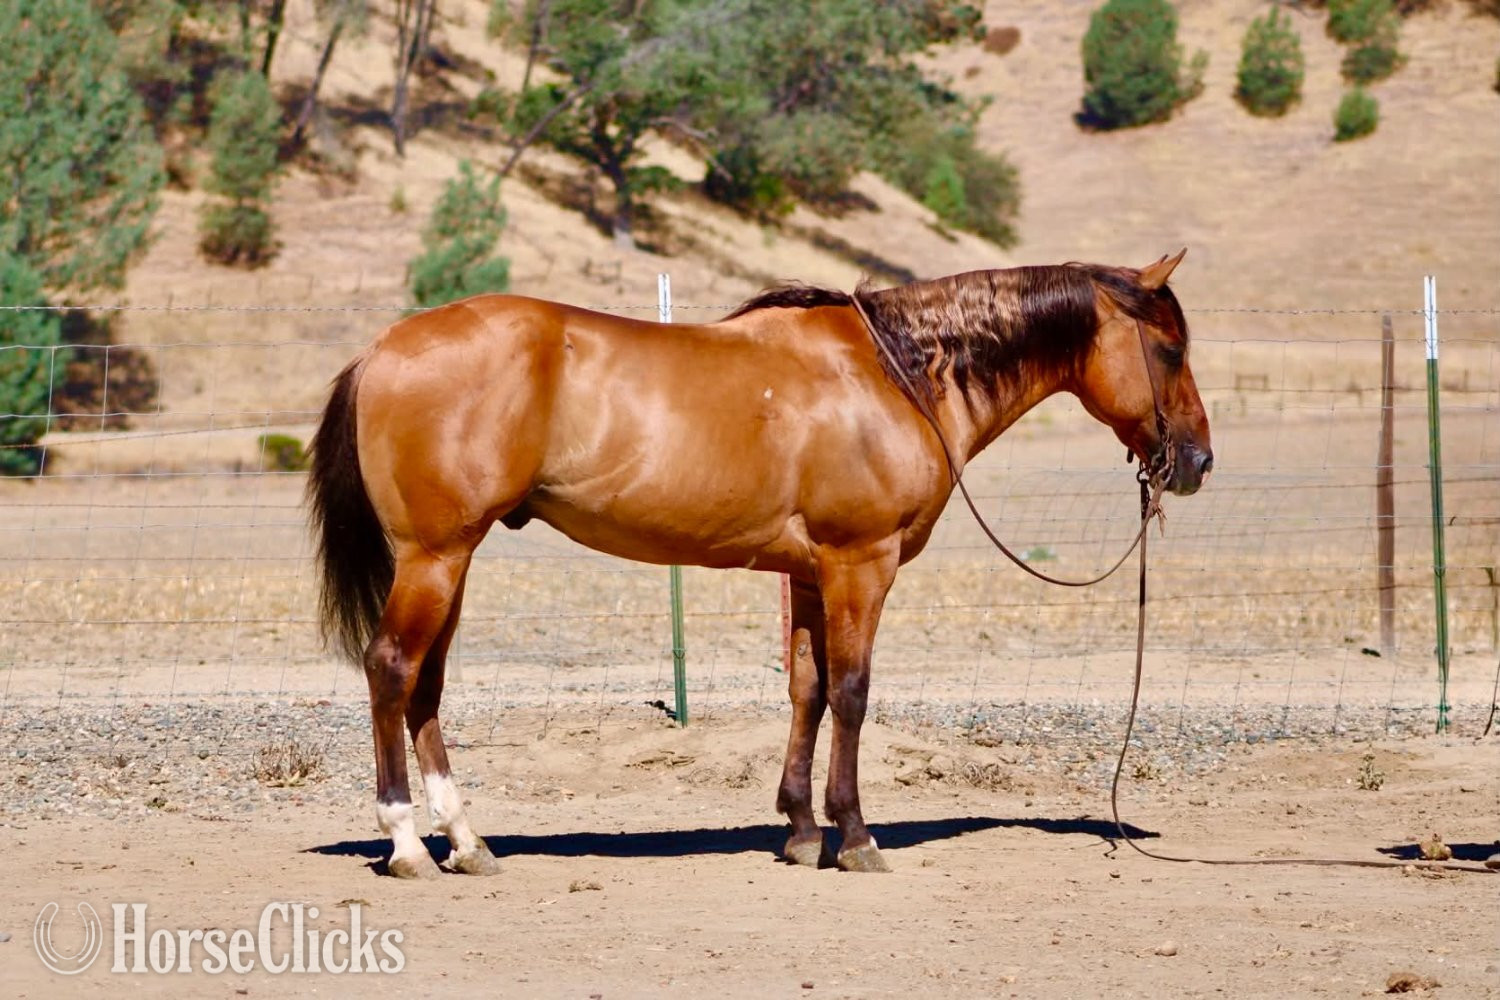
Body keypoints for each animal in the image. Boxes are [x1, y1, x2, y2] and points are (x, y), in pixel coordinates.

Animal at [307, 250, 1211, 878]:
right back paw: (408, 845)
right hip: (434, 558)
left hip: (451, 561)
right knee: (392, 670)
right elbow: (851, 692)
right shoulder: (861, 564)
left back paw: (466, 842)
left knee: (426, 687)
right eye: (1169, 348)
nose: (1197, 462)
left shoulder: (810, 574)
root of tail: (383, 348)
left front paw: (802, 832)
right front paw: (855, 836)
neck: (895, 375)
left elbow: (806, 689)